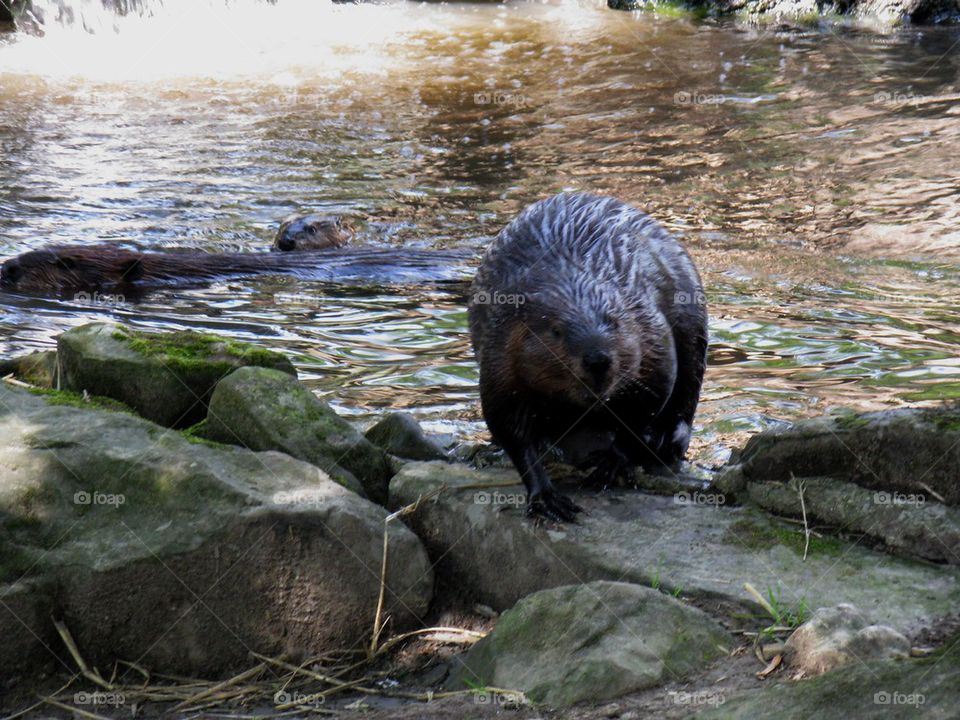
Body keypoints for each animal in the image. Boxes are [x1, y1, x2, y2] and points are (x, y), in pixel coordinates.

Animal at [468, 194, 708, 520]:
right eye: (556, 331)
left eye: (614, 322)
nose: (597, 360)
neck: (576, 284)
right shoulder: (500, 347)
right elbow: (508, 424)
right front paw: (547, 499)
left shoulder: (650, 329)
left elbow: (648, 401)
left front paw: (609, 465)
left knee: (688, 388)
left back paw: (665, 438)